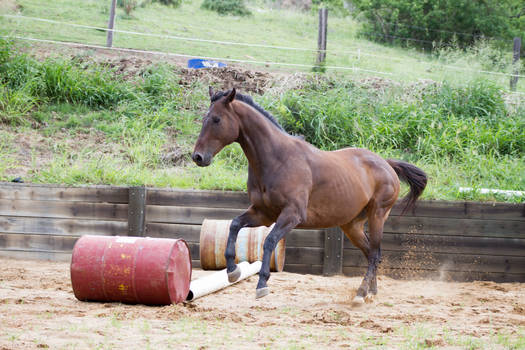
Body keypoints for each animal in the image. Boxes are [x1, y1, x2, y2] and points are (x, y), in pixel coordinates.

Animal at [192, 87, 426, 304]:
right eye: (204, 118)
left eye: (216, 119)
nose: (198, 157)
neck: (277, 159)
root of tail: (386, 163)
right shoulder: (262, 214)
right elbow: (234, 225)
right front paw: (233, 270)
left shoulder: (291, 215)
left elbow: (269, 241)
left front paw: (262, 284)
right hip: (352, 226)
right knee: (371, 254)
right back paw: (371, 291)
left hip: (377, 215)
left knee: (375, 253)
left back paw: (361, 293)